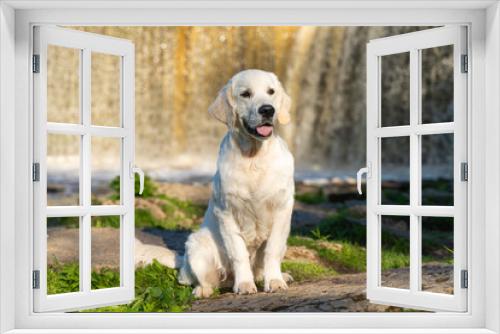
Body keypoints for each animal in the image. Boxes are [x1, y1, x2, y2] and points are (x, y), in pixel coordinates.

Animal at [177, 68, 294, 298]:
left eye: (271, 91)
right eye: (245, 94)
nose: (268, 110)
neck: (254, 157)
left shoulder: (283, 207)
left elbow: (272, 250)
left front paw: (275, 281)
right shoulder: (226, 211)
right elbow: (238, 253)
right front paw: (245, 284)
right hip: (197, 246)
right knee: (205, 280)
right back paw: (203, 290)